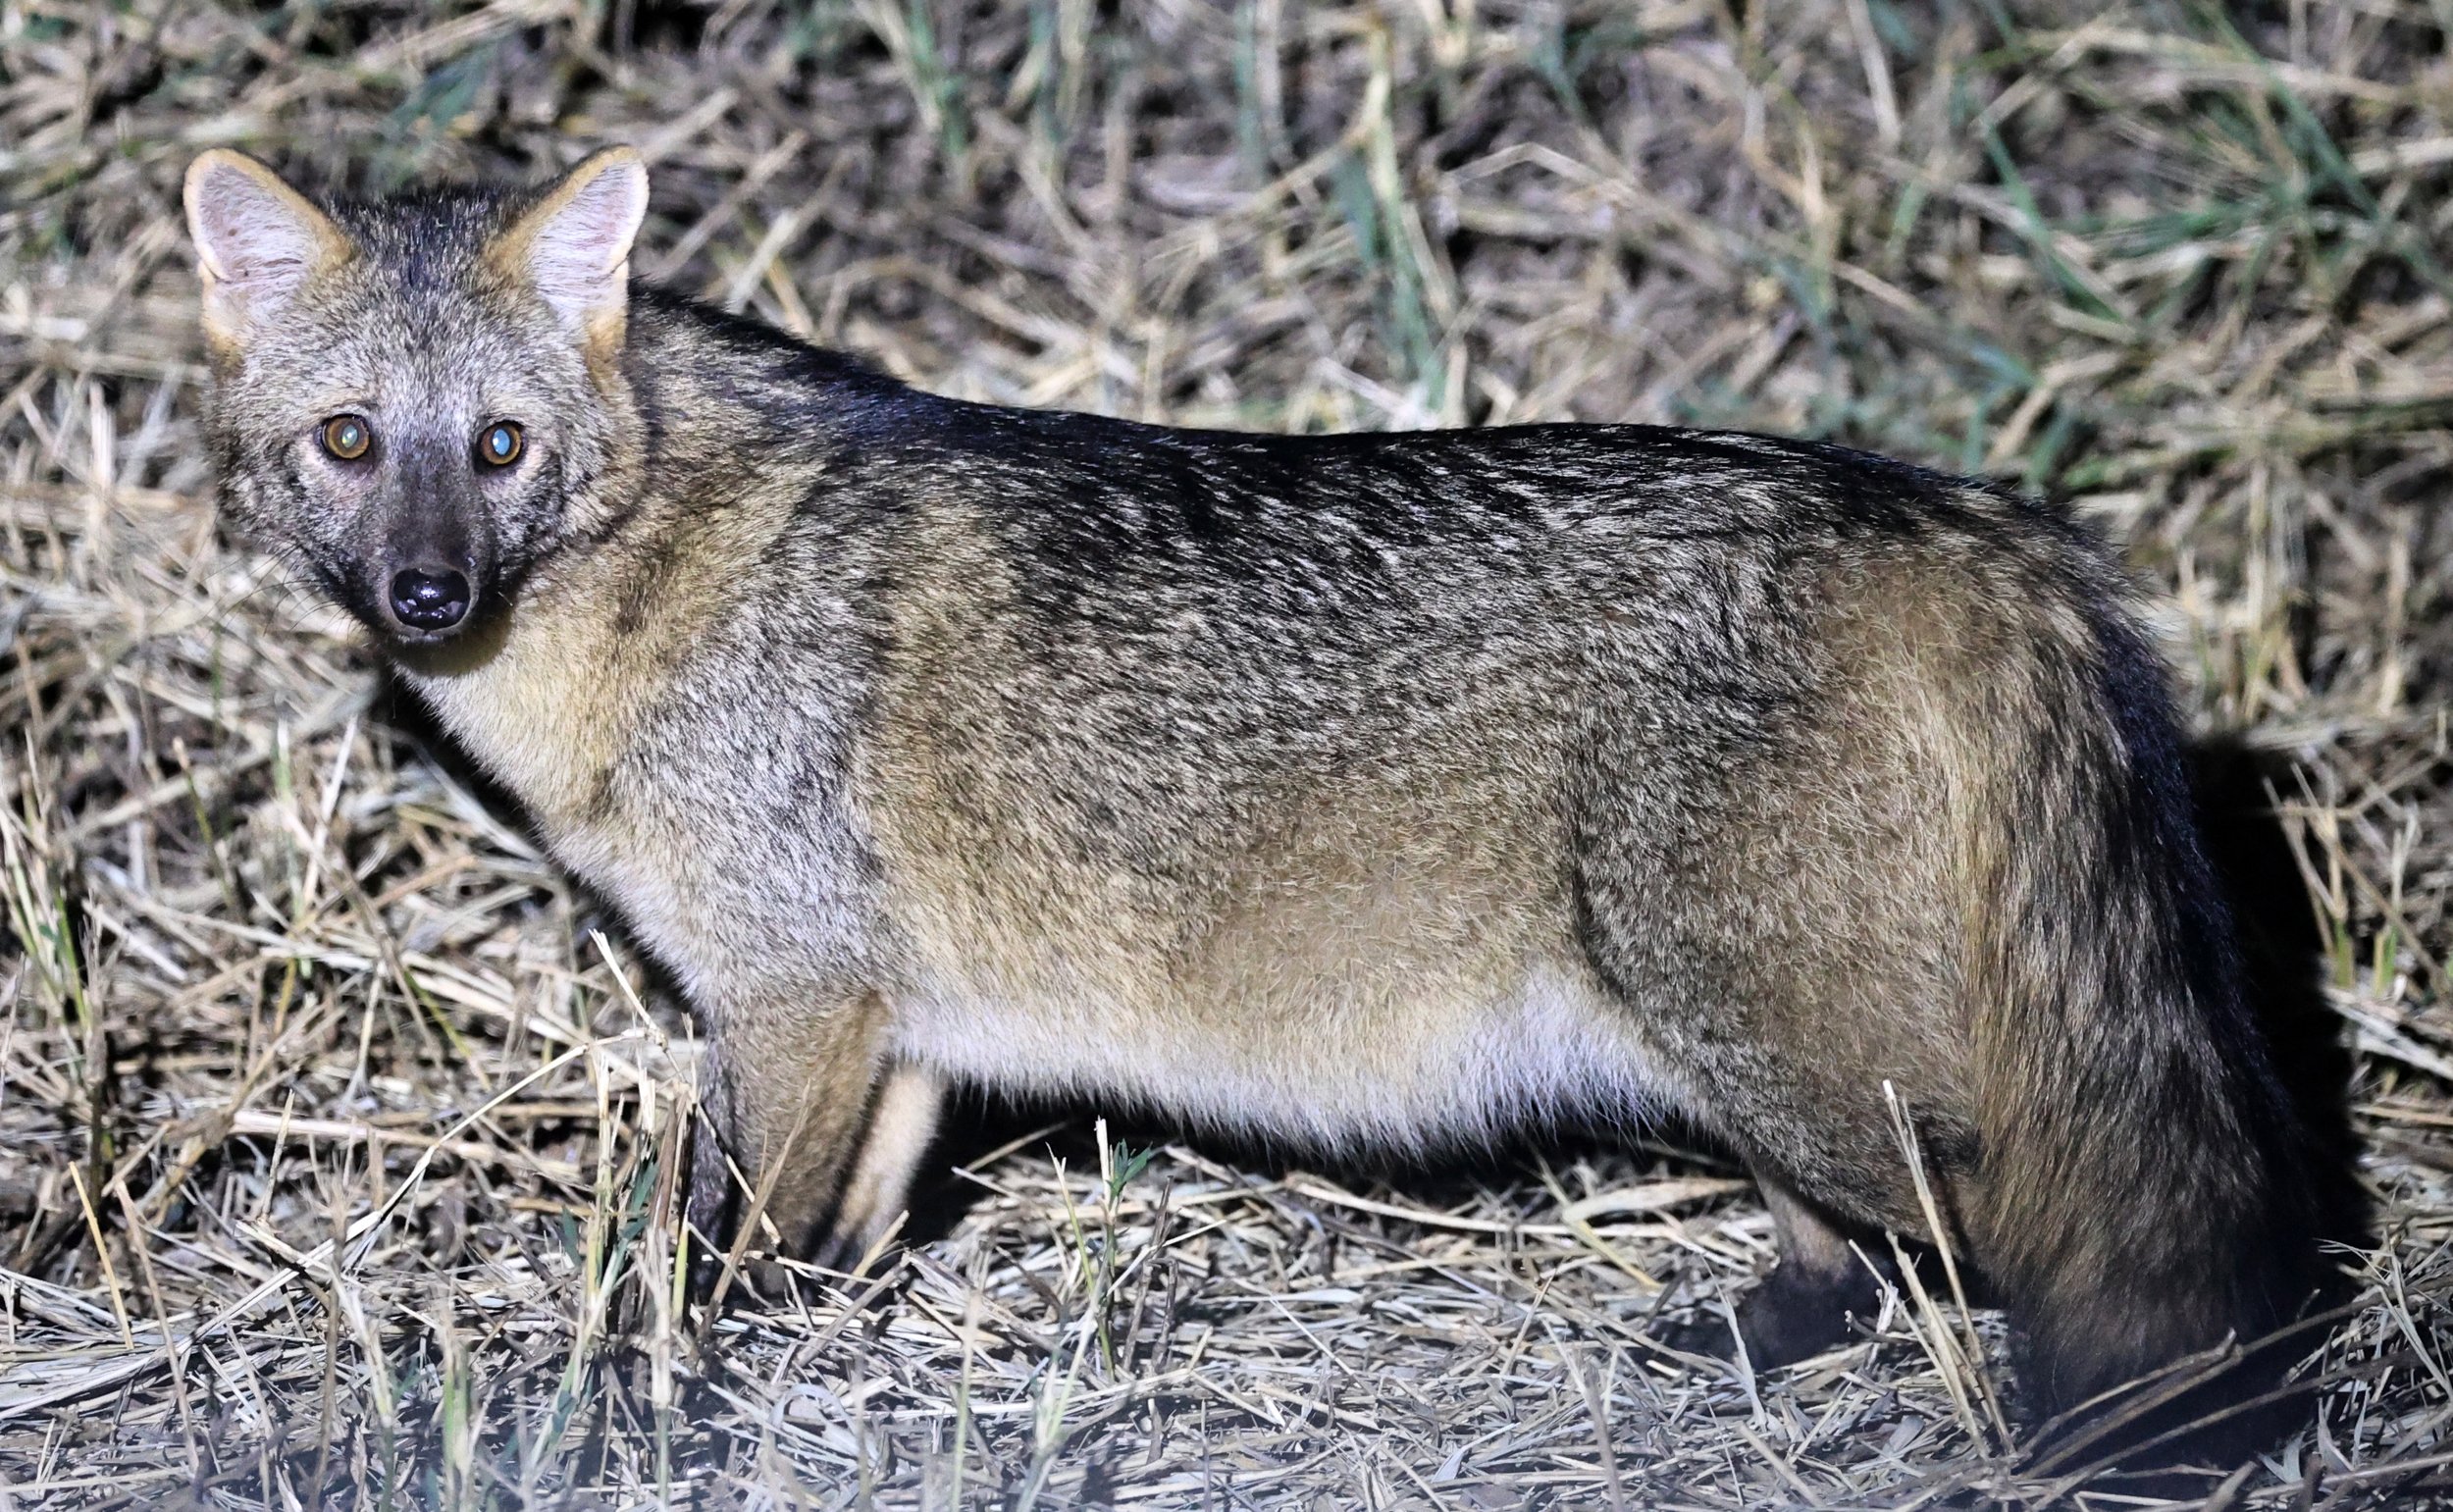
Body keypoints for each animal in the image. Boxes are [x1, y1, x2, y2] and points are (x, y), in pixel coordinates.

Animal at [184, 144, 2335, 1442]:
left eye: (498, 447)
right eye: (354, 443)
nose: (425, 595)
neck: (659, 583)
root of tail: (1952, 510)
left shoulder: (788, 1002)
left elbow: (705, 1250)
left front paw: (648, 1390)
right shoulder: (889, 1034)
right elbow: (839, 1234)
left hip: (1804, 1054)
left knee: (2022, 1239)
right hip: (1755, 1057)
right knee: (1854, 1246)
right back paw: (1750, 1336)